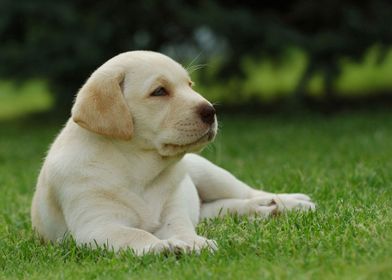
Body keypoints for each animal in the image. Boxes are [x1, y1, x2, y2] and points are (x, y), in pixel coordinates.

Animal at [30, 50, 316, 256]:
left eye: (190, 85)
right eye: (159, 91)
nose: (211, 111)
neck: (137, 167)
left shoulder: (172, 212)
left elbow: (180, 228)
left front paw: (193, 243)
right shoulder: (97, 226)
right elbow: (136, 234)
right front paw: (162, 247)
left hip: (208, 172)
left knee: (246, 192)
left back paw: (289, 202)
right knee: (223, 208)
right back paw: (267, 210)